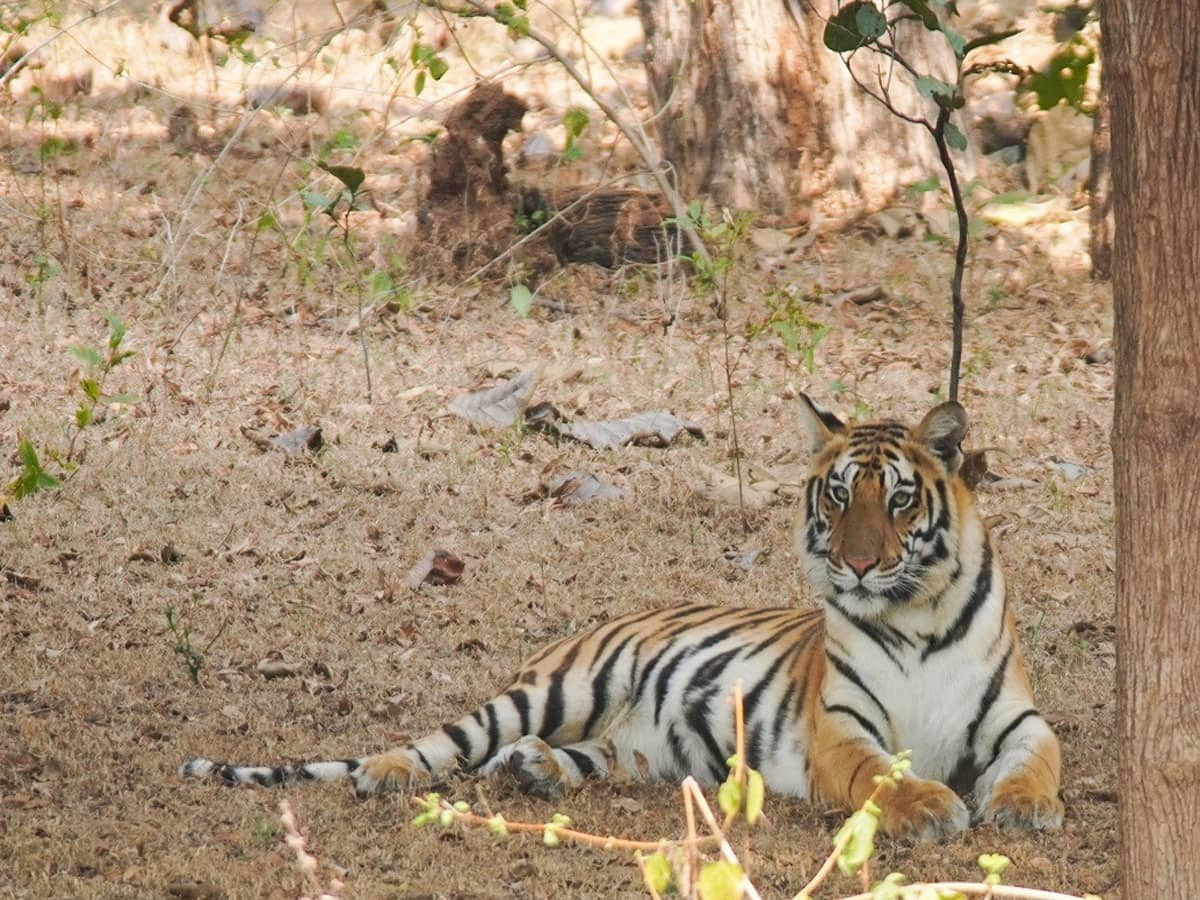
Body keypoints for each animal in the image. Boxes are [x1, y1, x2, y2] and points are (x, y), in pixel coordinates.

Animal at [177, 398, 1060, 844]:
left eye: (900, 499)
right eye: (839, 496)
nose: (860, 565)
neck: (916, 615)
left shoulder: (1021, 720)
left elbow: (1035, 760)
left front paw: (1020, 806)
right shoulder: (840, 730)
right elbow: (886, 775)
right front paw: (932, 808)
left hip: (637, 748)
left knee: (576, 757)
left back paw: (533, 770)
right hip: (554, 690)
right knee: (441, 742)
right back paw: (388, 773)